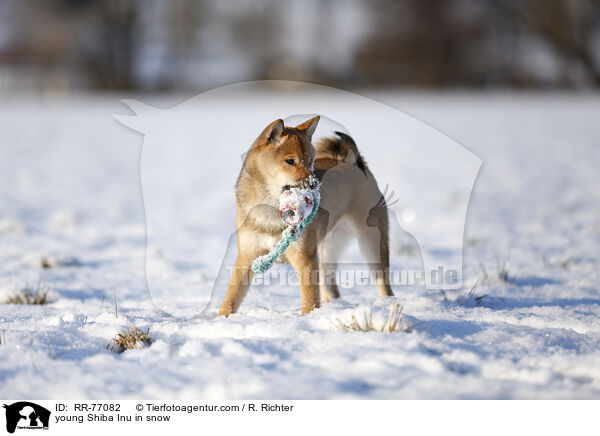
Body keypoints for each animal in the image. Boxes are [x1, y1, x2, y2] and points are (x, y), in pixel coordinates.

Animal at [218, 116, 396, 316]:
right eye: (290, 161)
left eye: (311, 161)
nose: (314, 184)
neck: (270, 210)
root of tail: (353, 162)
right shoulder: (247, 256)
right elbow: (231, 297)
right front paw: (221, 318)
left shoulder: (305, 258)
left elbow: (309, 300)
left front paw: (307, 318)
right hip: (326, 249)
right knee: (331, 288)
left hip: (370, 242)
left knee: (383, 282)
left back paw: (387, 304)